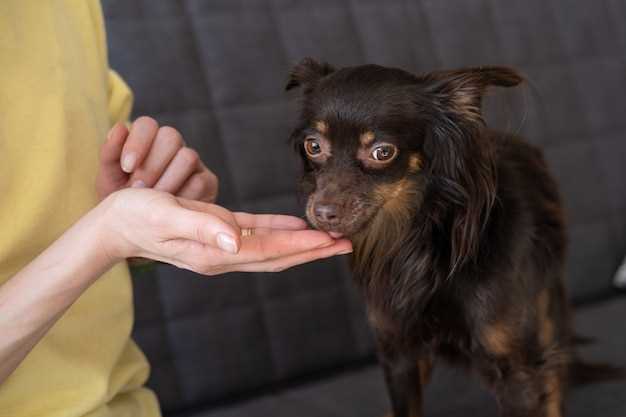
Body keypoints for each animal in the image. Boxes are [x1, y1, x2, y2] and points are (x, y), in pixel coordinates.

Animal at [288, 57, 620, 416]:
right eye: (313, 146)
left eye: (382, 152)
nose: (323, 212)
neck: (416, 241)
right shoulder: (398, 354)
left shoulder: (517, 371)